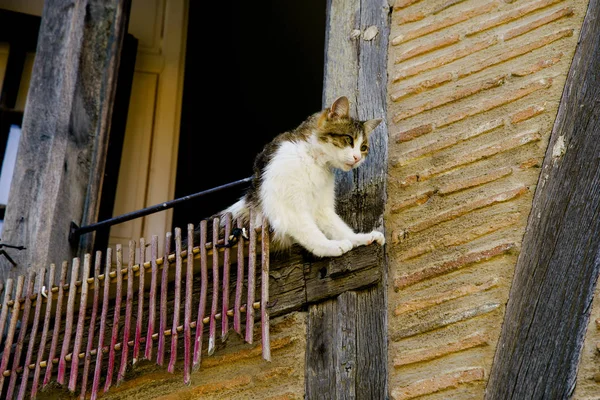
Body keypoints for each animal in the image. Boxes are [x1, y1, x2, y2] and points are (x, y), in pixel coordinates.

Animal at [219, 95, 384, 258]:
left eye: (363, 148)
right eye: (349, 139)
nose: (358, 158)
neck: (314, 160)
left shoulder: (322, 207)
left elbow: (338, 227)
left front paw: (360, 238)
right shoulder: (290, 209)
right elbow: (311, 232)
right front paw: (330, 246)